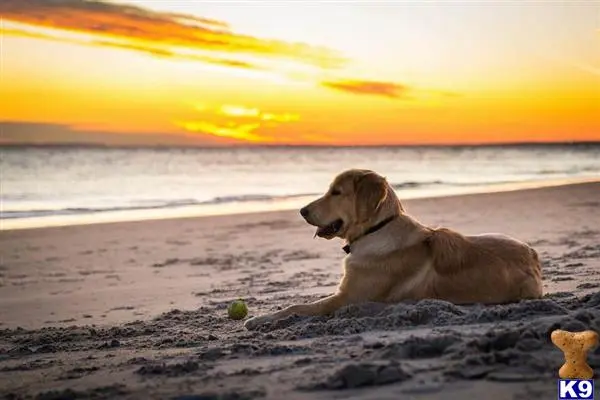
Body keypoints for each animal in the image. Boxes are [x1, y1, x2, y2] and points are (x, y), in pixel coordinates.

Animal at [244, 167, 544, 330]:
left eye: (336, 192)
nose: (302, 210)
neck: (377, 230)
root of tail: (532, 255)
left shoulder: (347, 300)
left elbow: (295, 305)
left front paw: (259, 319)